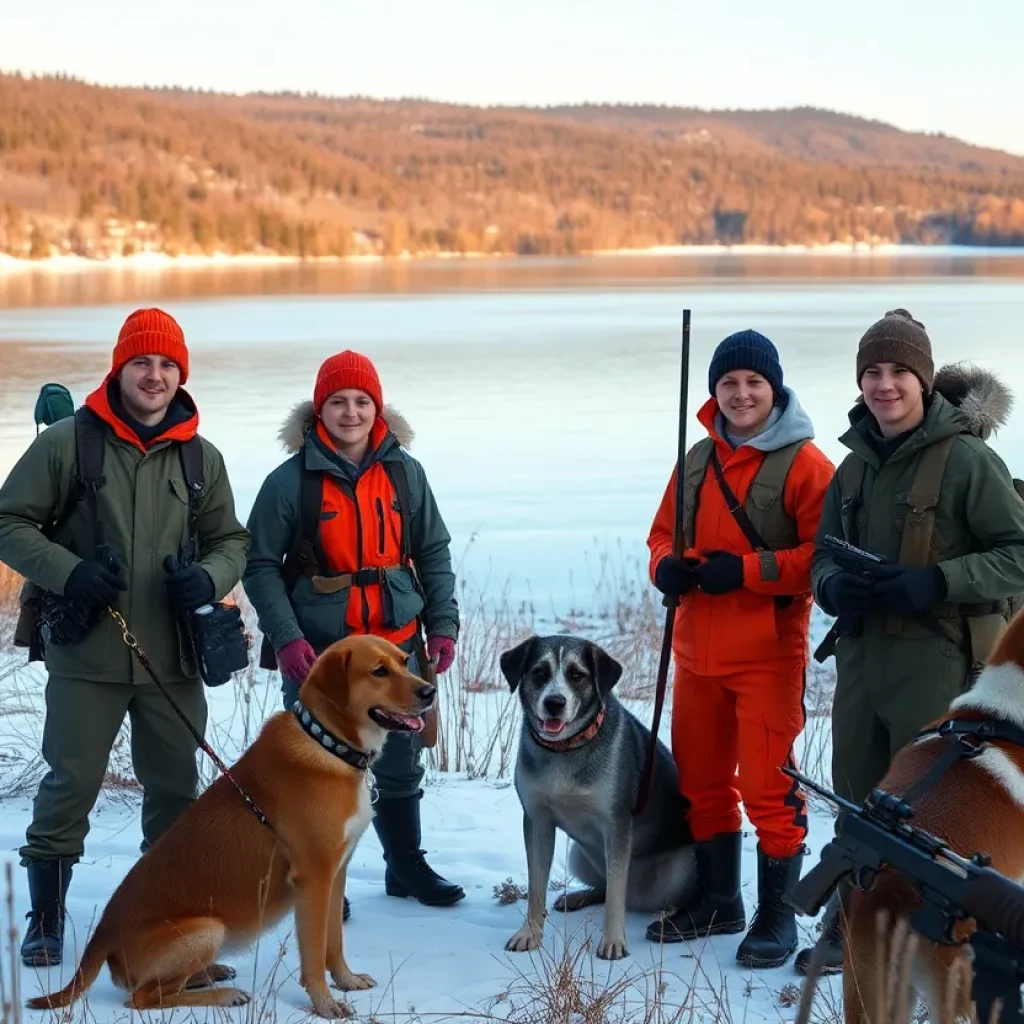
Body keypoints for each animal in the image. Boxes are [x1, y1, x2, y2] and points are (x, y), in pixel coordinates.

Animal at [27, 630, 436, 1015]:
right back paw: (223, 994)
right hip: (206, 929)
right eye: (379, 671)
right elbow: (314, 953)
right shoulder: (314, 877)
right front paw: (324, 1003)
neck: (328, 745)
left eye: (403, 661)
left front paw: (346, 980)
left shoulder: (337, 872)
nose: (429, 691)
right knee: (144, 997)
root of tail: (103, 937)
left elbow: (333, 943)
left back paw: (211, 973)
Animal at [497, 630, 696, 958]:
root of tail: (639, 897)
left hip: (682, 865)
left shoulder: (616, 823)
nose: (554, 702)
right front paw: (530, 933)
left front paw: (613, 941)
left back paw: (668, 915)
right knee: (603, 886)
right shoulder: (537, 820)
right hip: (578, 854)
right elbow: (536, 887)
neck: (565, 750)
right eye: (539, 672)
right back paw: (579, 897)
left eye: (577, 675)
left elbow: (616, 893)